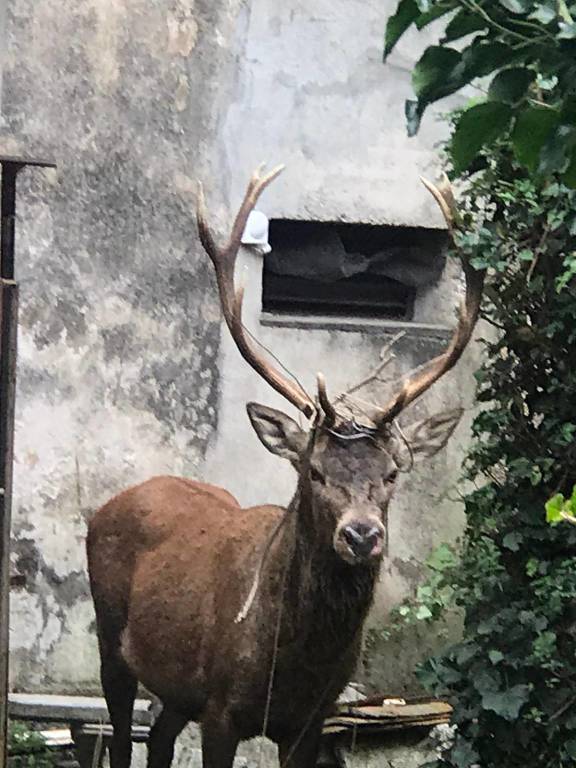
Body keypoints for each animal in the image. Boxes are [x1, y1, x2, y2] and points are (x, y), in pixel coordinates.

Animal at [87, 166, 484, 768]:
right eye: (314, 472)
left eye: (392, 474)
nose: (361, 535)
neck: (295, 663)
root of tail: (113, 503)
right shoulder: (222, 706)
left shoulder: (312, 720)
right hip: (111, 638)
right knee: (120, 736)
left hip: (177, 684)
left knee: (158, 737)